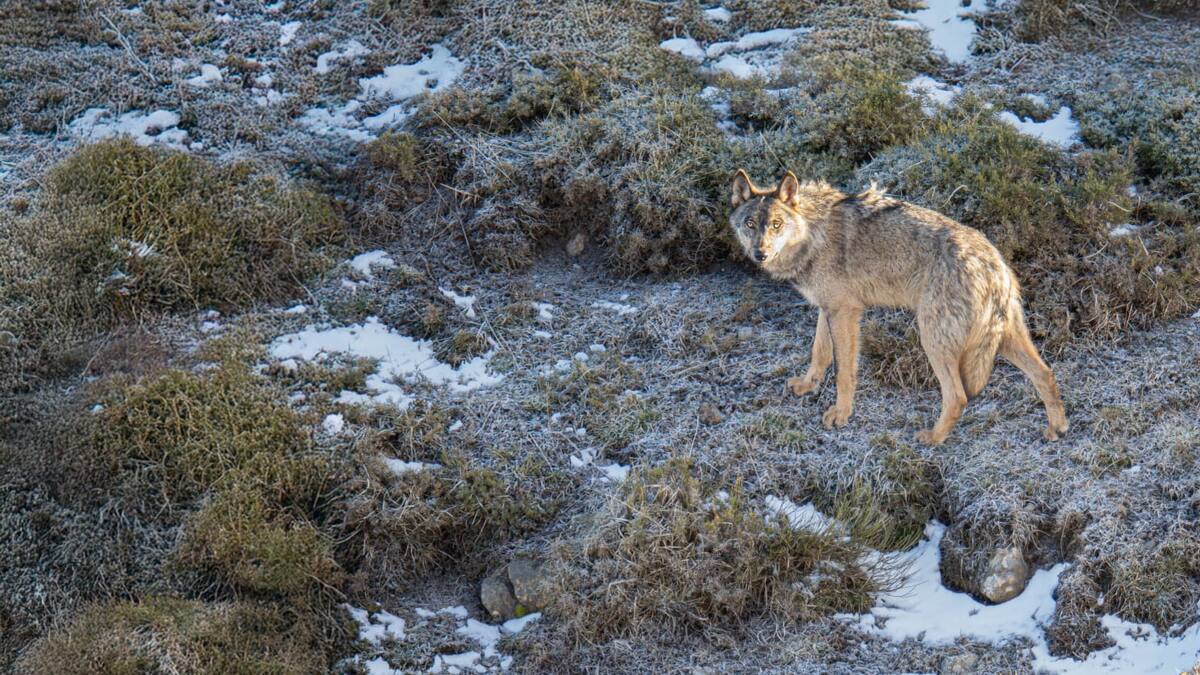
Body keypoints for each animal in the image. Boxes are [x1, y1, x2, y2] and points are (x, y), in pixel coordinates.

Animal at [729, 169, 1068, 445]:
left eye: (776, 224)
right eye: (750, 224)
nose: (760, 253)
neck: (812, 234)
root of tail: (993, 262)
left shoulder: (845, 312)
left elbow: (843, 372)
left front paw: (841, 415)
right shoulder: (828, 309)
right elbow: (819, 354)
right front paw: (806, 386)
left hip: (933, 340)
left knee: (958, 397)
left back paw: (933, 438)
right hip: (1004, 340)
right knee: (1045, 373)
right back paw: (1057, 429)